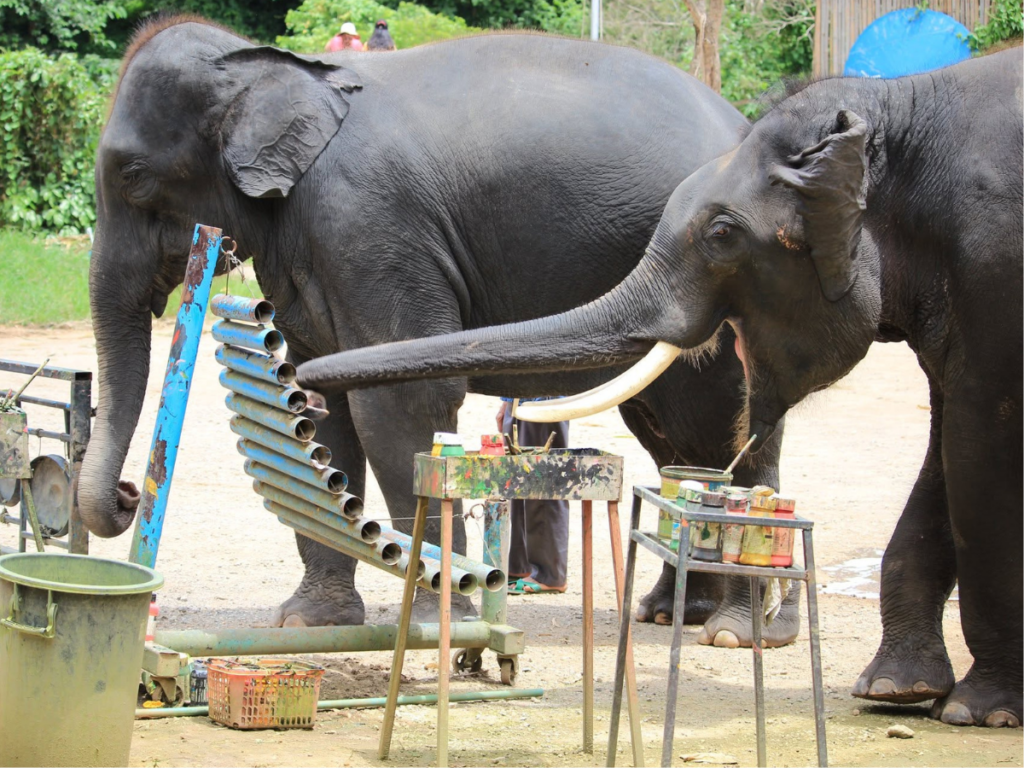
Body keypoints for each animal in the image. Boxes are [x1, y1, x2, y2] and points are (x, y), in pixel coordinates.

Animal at [81, 15, 801, 642]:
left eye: (132, 176)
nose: (126, 495)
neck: (278, 68)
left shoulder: (372, 229)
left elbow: (400, 406)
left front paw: (436, 618)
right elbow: (315, 405)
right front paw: (310, 623)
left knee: (730, 433)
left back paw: (736, 631)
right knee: (677, 439)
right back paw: (667, 612)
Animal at [298, 49, 1023, 728]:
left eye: (723, 234)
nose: (302, 373)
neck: (899, 106)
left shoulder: (996, 261)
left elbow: (982, 441)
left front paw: (976, 710)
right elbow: (950, 443)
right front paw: (899, 689)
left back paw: (740, 633)